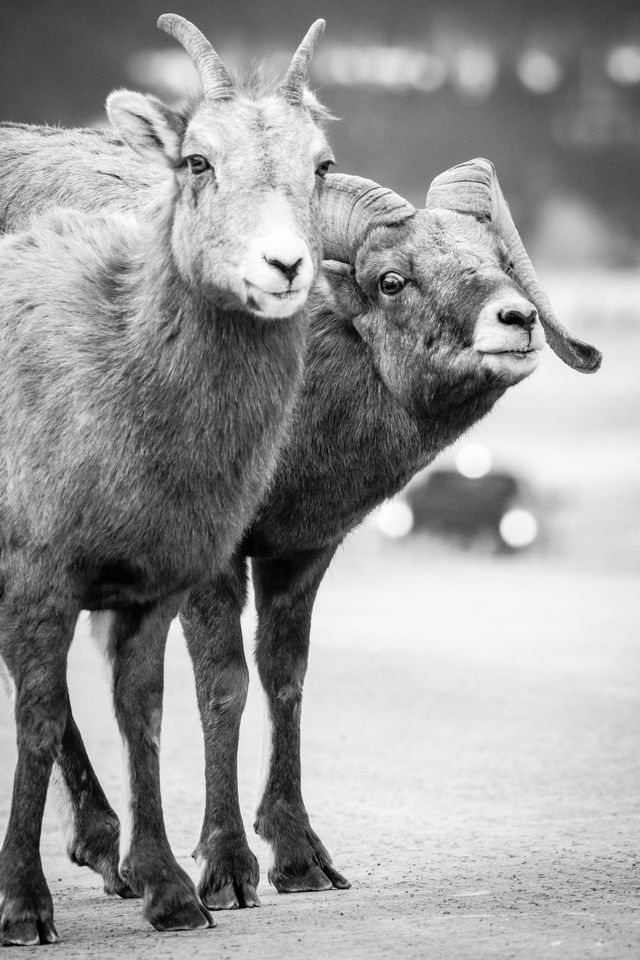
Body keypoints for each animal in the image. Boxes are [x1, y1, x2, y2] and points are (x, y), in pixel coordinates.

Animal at [0, 11, 338, 948]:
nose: (283, 266)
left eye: (321, 164)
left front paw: (173, 894)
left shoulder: (150, 587)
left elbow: (142, 713)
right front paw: (23, 909)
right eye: (197, 161)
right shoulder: (39, 574)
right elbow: (38, 719)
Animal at [0, 112, 600, 908]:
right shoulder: (212, 561)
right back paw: (109, 857)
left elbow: (285, 680)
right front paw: (227, 871)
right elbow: (222, 687)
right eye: (391, 281)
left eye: (497, 257)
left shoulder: (302, 554)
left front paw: (301, 861)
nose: (517, 319)